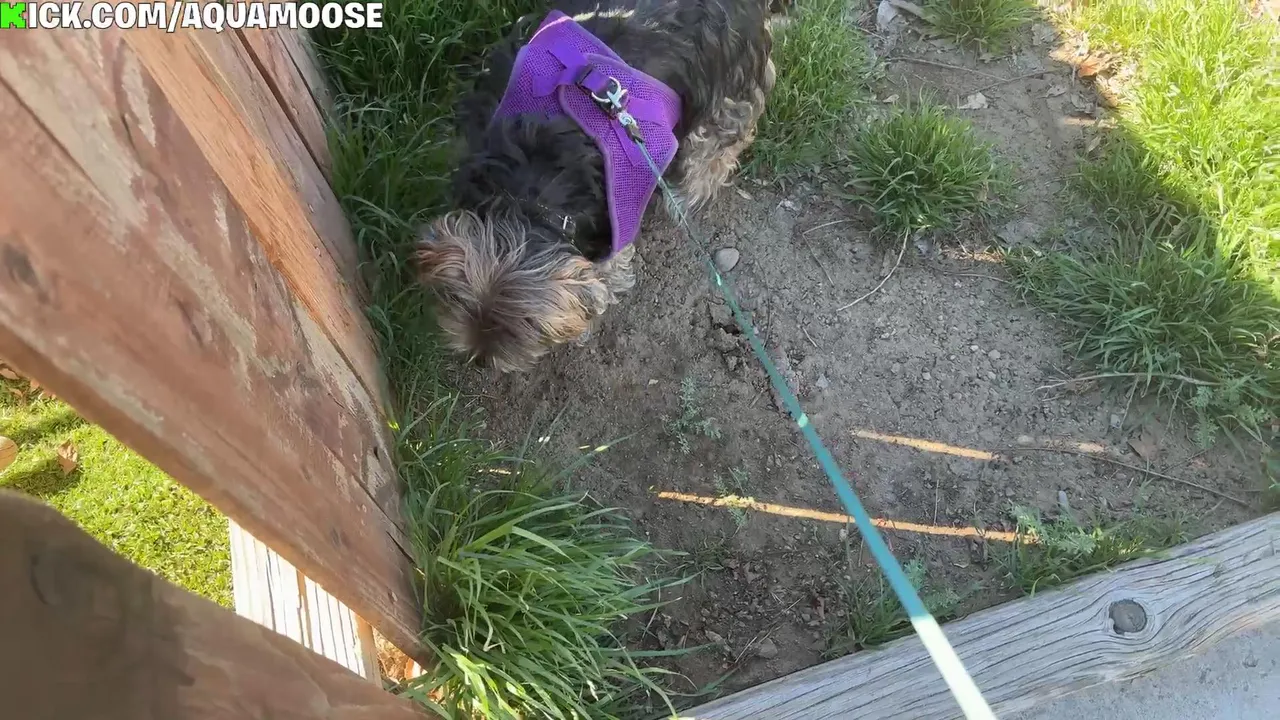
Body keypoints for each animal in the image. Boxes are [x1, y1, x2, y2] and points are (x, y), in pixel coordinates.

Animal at [412, 0, 780, 372]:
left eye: (529, 327)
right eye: (459, 300)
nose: (480, 359)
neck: (531, 192)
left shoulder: (620, 219)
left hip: (731, 83)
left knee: (722, 142)